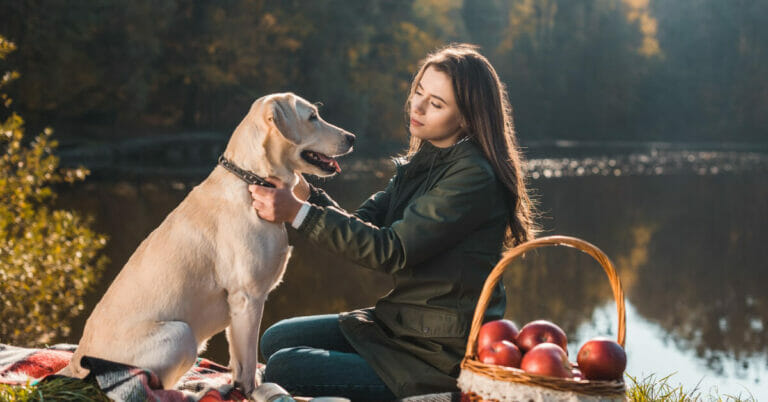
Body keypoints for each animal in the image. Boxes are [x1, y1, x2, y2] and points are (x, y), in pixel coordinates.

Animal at [63, 93, 356, 396]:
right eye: (312, 117)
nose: (352, 138)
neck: (252, 178)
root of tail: (75, 363)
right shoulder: (247, 298)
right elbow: (247, 364)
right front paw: (248, 392)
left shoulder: (239, 307)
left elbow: (237, 362)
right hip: (181, 333)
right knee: (152, 386)